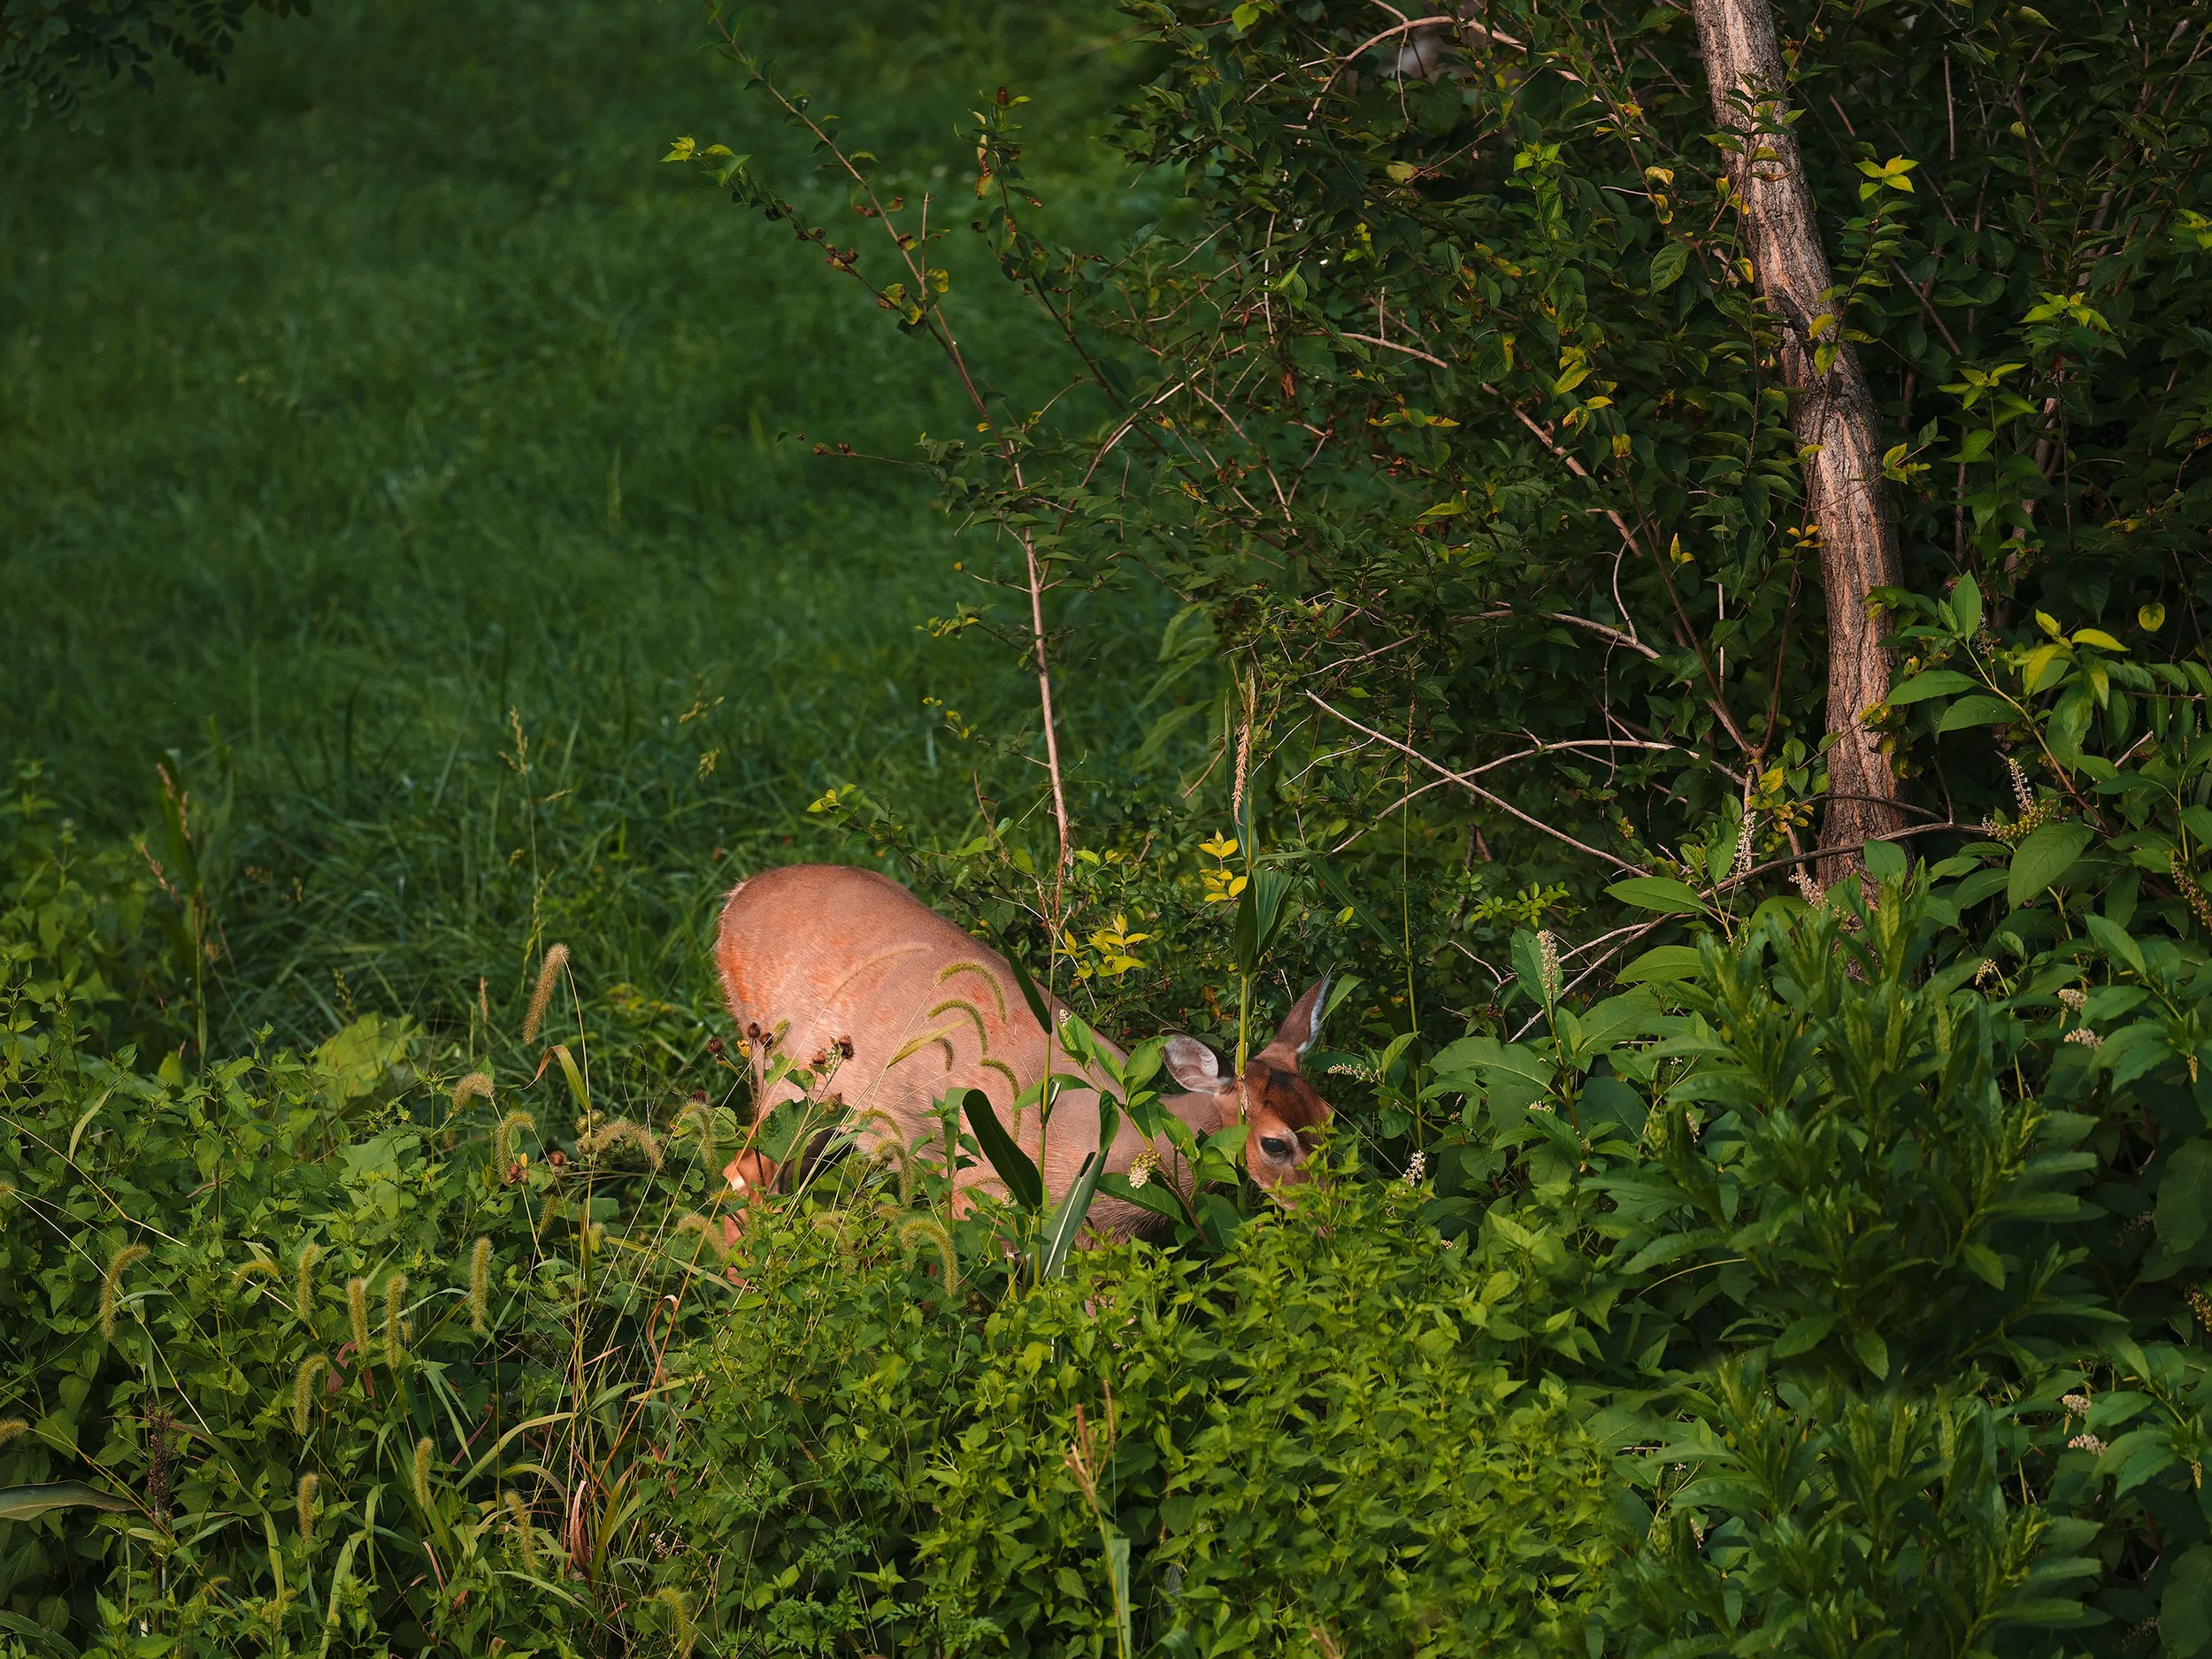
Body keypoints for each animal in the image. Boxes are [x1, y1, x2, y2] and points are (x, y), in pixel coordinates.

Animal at [711, 863, 1334, 1240]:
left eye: (1330, 1117)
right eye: (1275, 1144)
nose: (1331, 1215)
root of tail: (733, 899)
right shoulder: (977, 1196)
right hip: (784, 1074)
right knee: (743, 1171)